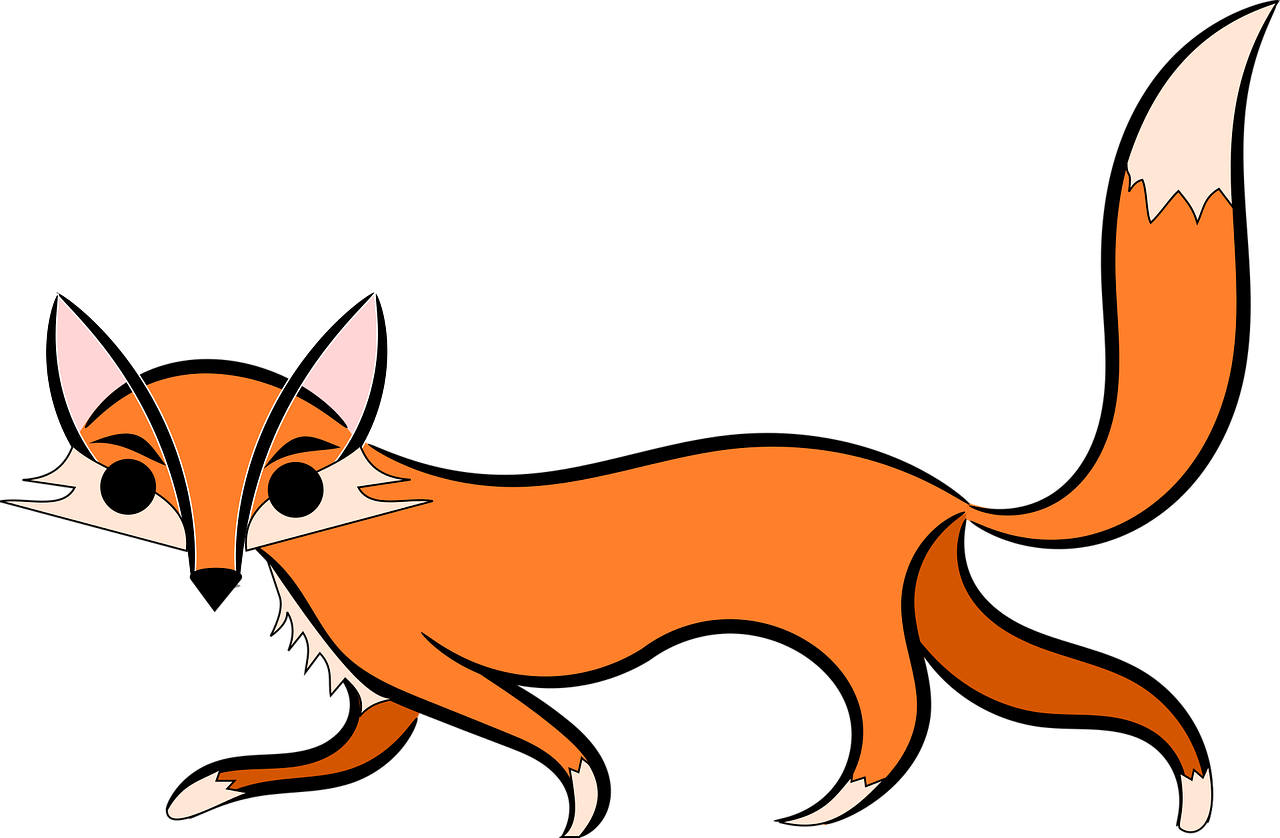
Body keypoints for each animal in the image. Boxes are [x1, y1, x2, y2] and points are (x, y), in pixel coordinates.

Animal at [6, 7, 1270, 834]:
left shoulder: (419, 662)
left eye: (291, 484)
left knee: (901, 715)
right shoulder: (382, 696)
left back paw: (834, 802)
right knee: (1087, 693)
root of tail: (940, 494)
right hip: (945, 618)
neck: (346, 528)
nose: (214, 577)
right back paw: (1188, 786)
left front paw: (577, 800)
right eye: (133, 488)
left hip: (856, 631)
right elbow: (319, 758)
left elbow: (545, 739)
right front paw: (206, 788)